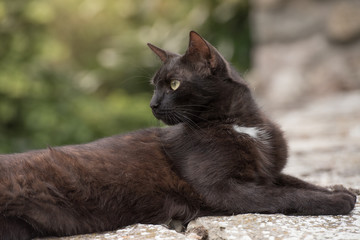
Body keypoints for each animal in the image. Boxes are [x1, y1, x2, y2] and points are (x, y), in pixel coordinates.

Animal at [0, 32, 356, 240]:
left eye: (172, 84)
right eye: (154, 86)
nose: (152, 104)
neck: (239, 122)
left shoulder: (266, 173)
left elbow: (298, 182)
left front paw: (339, 189)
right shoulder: (222, 189)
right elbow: (285, 196)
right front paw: (338, 200)